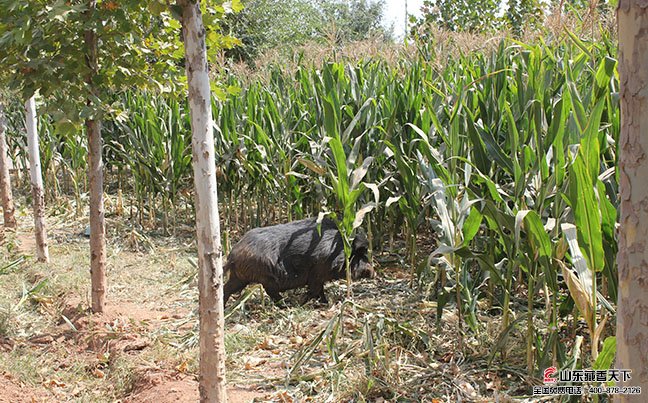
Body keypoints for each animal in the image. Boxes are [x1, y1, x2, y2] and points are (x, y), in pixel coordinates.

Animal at [224, 219, 372, 304]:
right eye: (361, 254)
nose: (372, 272)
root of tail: (233, 254)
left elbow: (319, 290)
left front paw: (323, 302)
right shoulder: (317, 272)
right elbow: (315, 290)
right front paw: (306, 302)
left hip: (240, 276)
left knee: (227, 288)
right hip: (264, 275)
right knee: (271, 291)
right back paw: (286, 304)